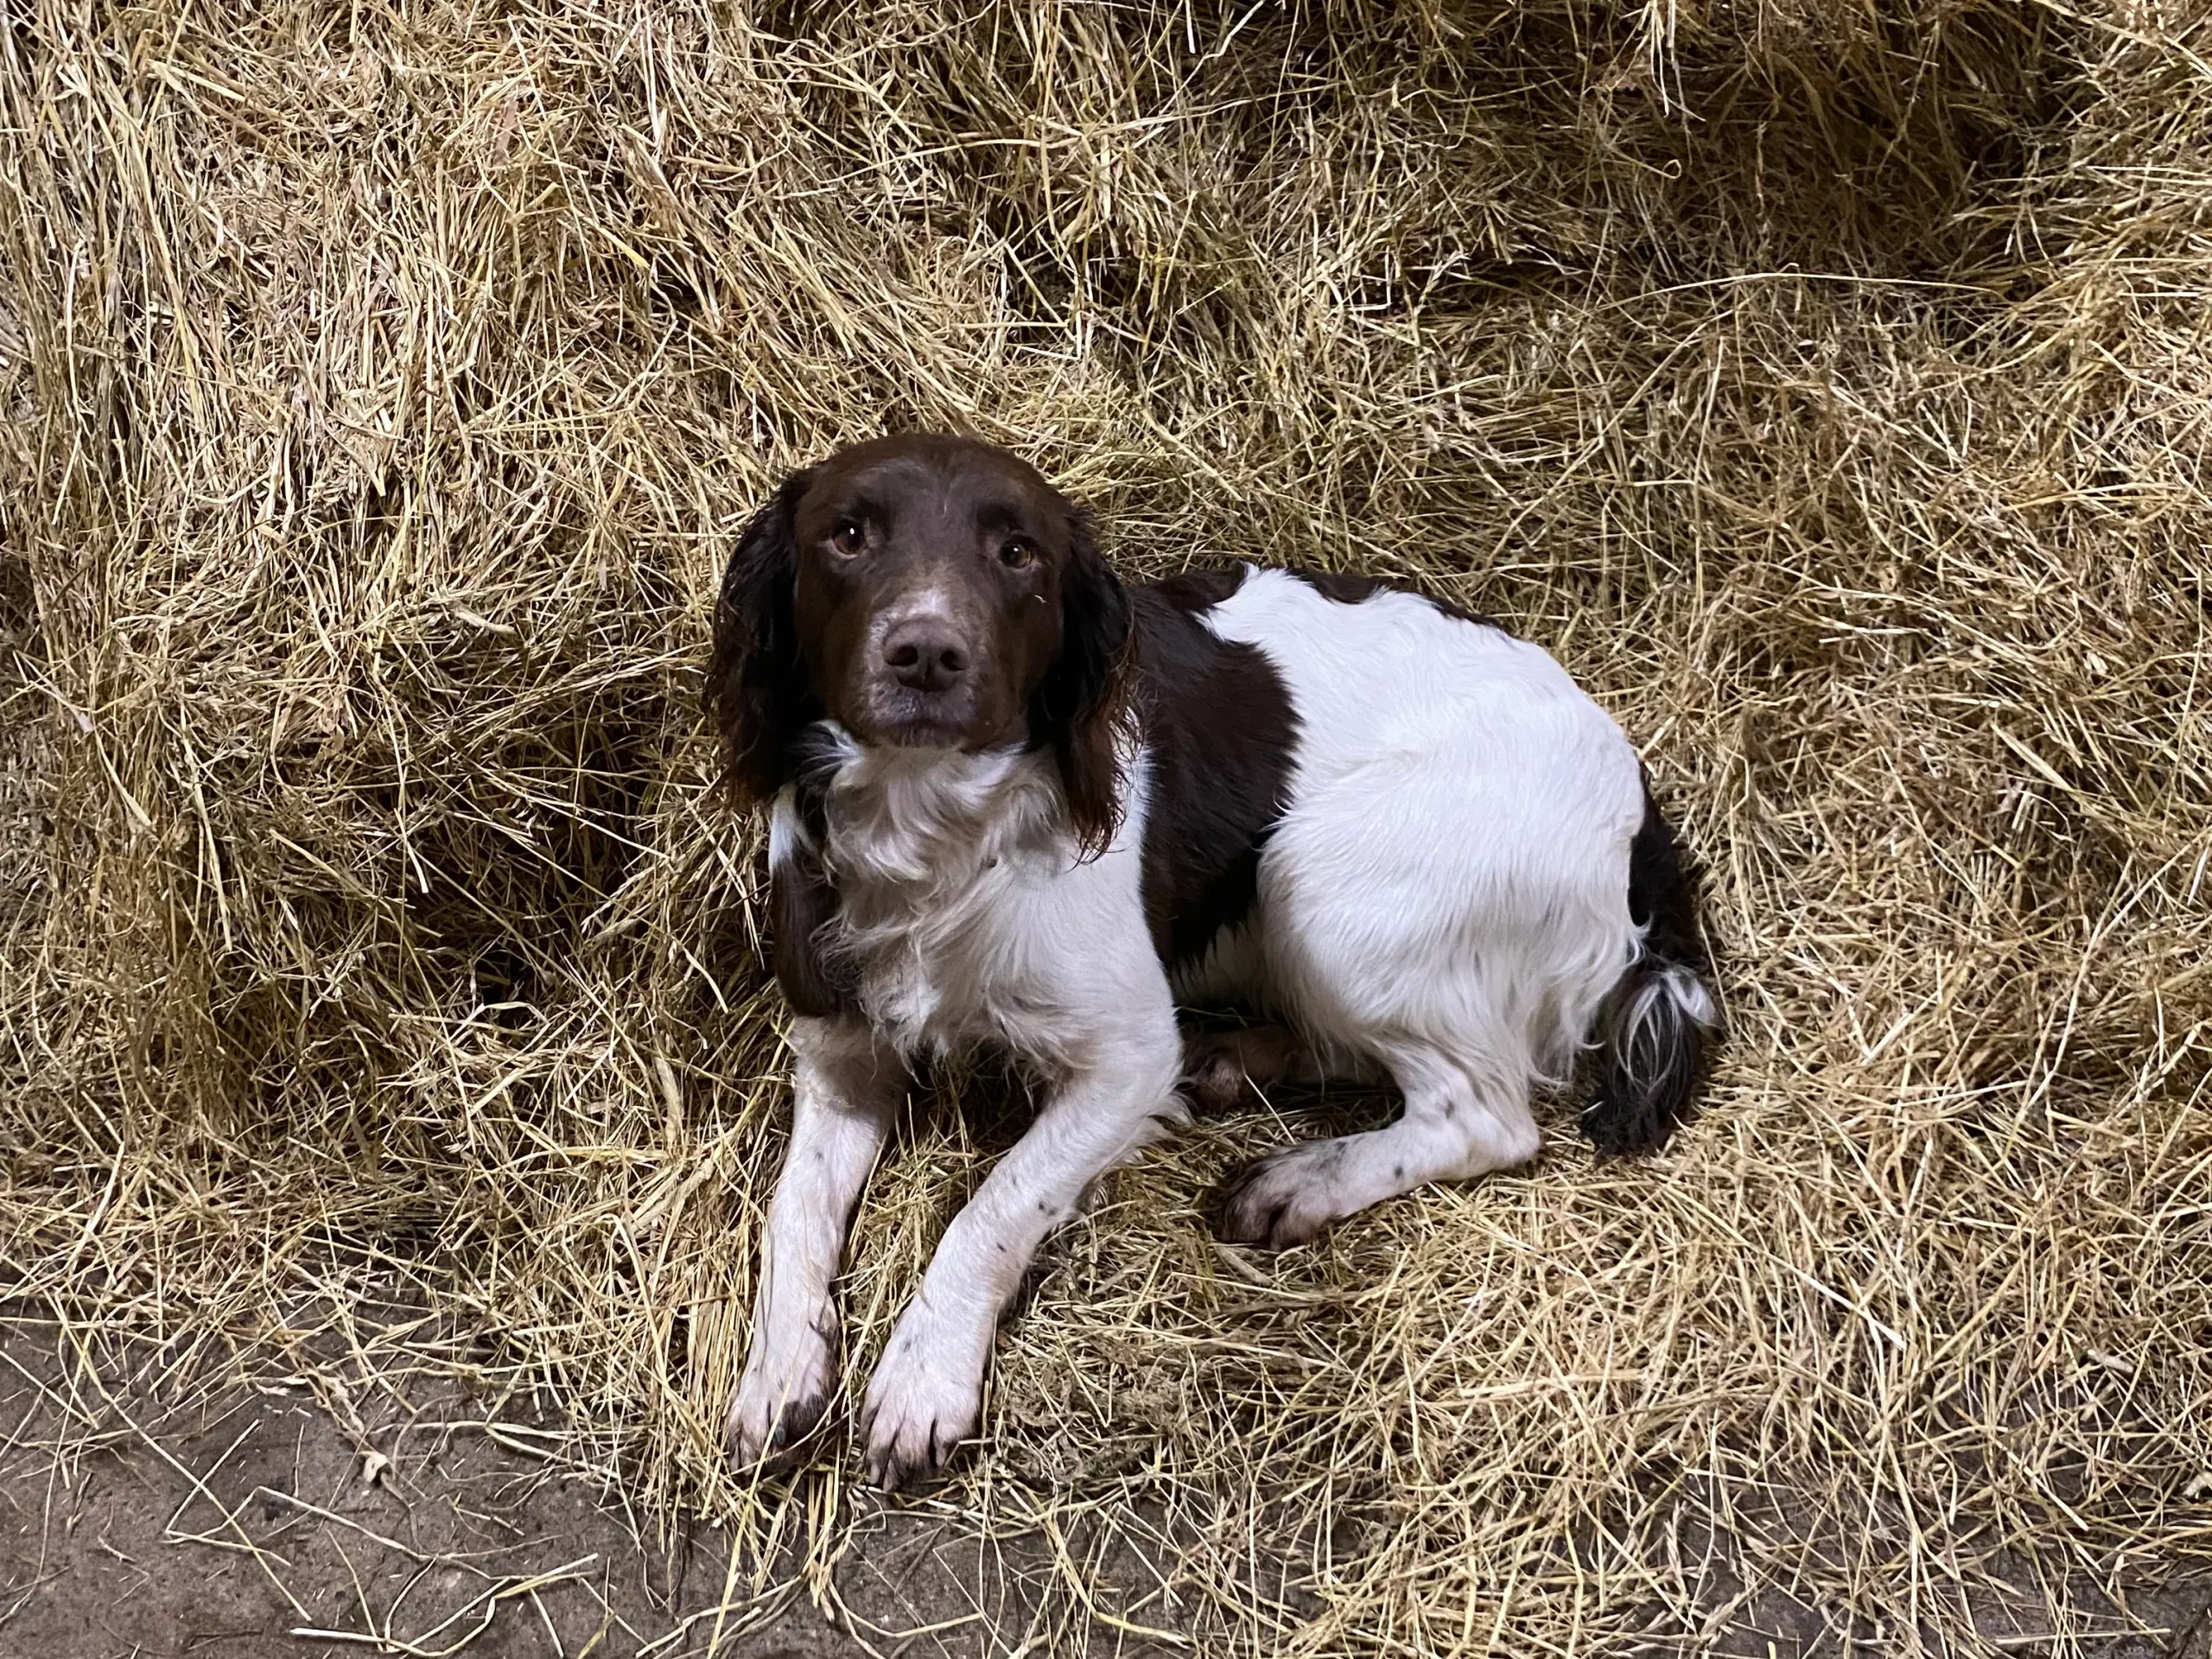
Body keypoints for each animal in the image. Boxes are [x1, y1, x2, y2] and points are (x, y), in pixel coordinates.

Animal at [698, 431, 1716, 1495]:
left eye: (1018, 554)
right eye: (847, 536)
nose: (928, 653)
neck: (932, 832)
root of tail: (1637, 798)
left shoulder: (1127, 1056)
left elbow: (995, 1206)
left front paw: (923, 1377)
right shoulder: (839, 1051)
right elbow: (792, 1212)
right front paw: (778, 1372)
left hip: (1315, 873)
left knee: (1483, 1114)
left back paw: (1301, 1181)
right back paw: (1240, 1062)